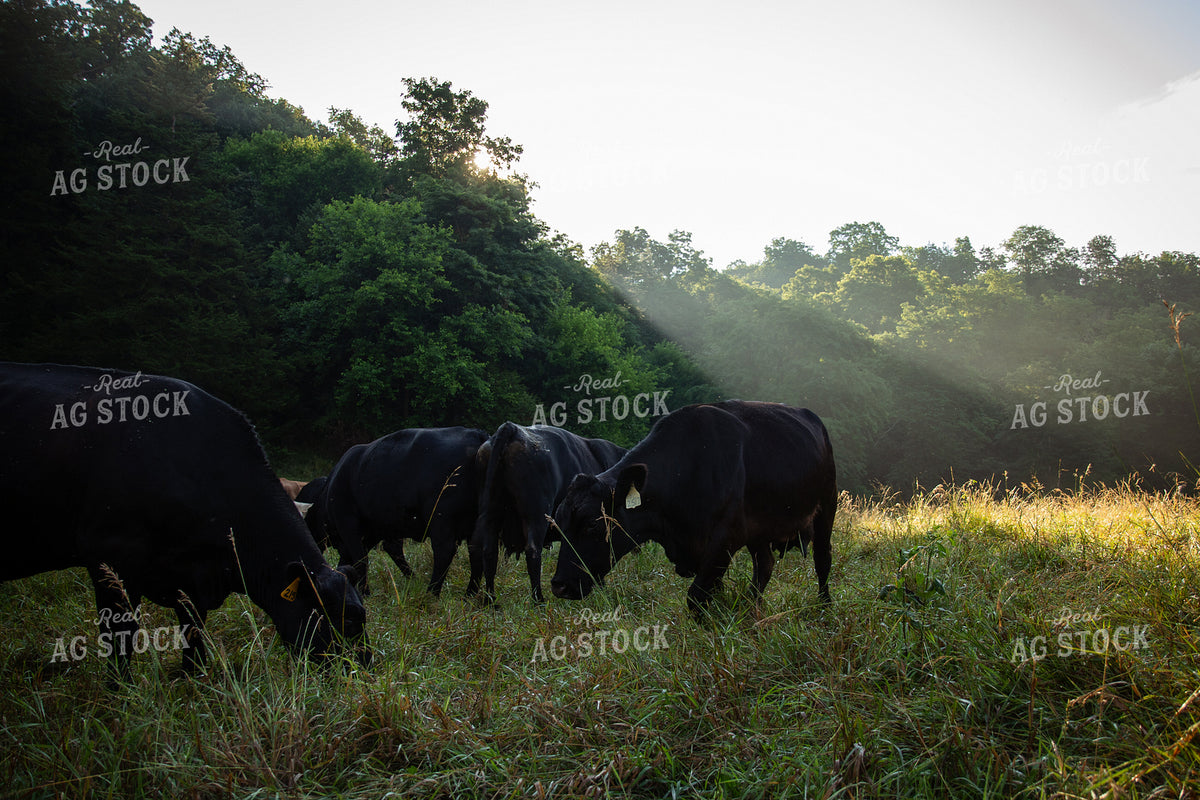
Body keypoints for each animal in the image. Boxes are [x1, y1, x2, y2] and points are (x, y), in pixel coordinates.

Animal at [0, 362, 369, 677]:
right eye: (347, 622)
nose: (362, 670)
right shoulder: (110, 559)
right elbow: (120, 635)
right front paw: (120, 694)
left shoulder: (193, 577)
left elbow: (193, 626)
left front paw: (194, 676)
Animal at [319, 427, 489, 596]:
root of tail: (476, 435)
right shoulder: (385, 529)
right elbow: (388, 551)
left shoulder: (348, 523)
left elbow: (360, 558)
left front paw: (364, 591)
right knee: (476, 552)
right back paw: (470, 593)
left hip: (441, 517)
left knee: (444, 551)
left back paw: (432, 592)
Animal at [469, 422, 626, 604]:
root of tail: (512, 428)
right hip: (536, 513)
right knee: (532, 551)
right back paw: (538, 599)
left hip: (491, 511)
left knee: (488, 551)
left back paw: (491, 599)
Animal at [550, 400, 836, 614]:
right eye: (559, 524)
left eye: (591, 524)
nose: (559, 586)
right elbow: (711, 593)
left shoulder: (725, 539)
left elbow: (696, 597)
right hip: (759, 529)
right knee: (765, 565)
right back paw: (749, 607)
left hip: (827, 505)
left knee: (822, 559)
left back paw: (824, 606)